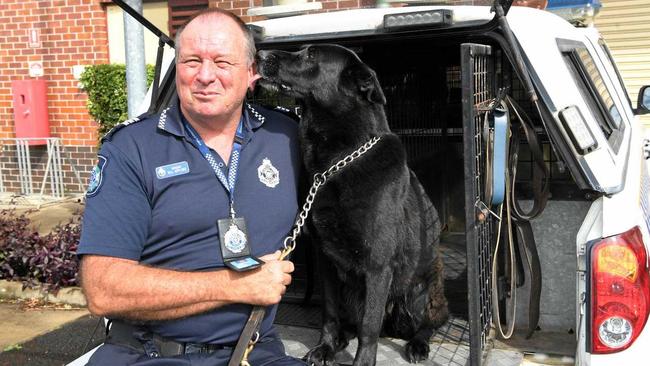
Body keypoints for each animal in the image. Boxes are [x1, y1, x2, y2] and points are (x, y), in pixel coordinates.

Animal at [256, 44, 448, 364]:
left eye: (310, 56)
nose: (260, 55)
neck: (337, 163)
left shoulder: (378, 265)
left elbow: (369, 327)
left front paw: (362, 361)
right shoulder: (326, 261)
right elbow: (330, 313)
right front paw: (325, 347)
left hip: (420, 289)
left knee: (430, 321)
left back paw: (418, 344)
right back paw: (341, 339)